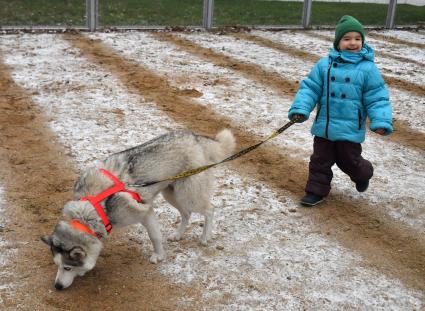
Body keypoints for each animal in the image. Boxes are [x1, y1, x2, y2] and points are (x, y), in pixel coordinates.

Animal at [40, 129, 235, 290]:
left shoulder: (145, 212)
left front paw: (158, 256)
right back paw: (178, 234)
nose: (57, 286)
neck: (93, 207)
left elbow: (155, 236)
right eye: (57, 265)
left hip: (188, 194)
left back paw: (205, 237)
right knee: (186, 213)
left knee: (210, 210)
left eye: (67, 267)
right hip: (171, 194)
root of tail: (195, 137)